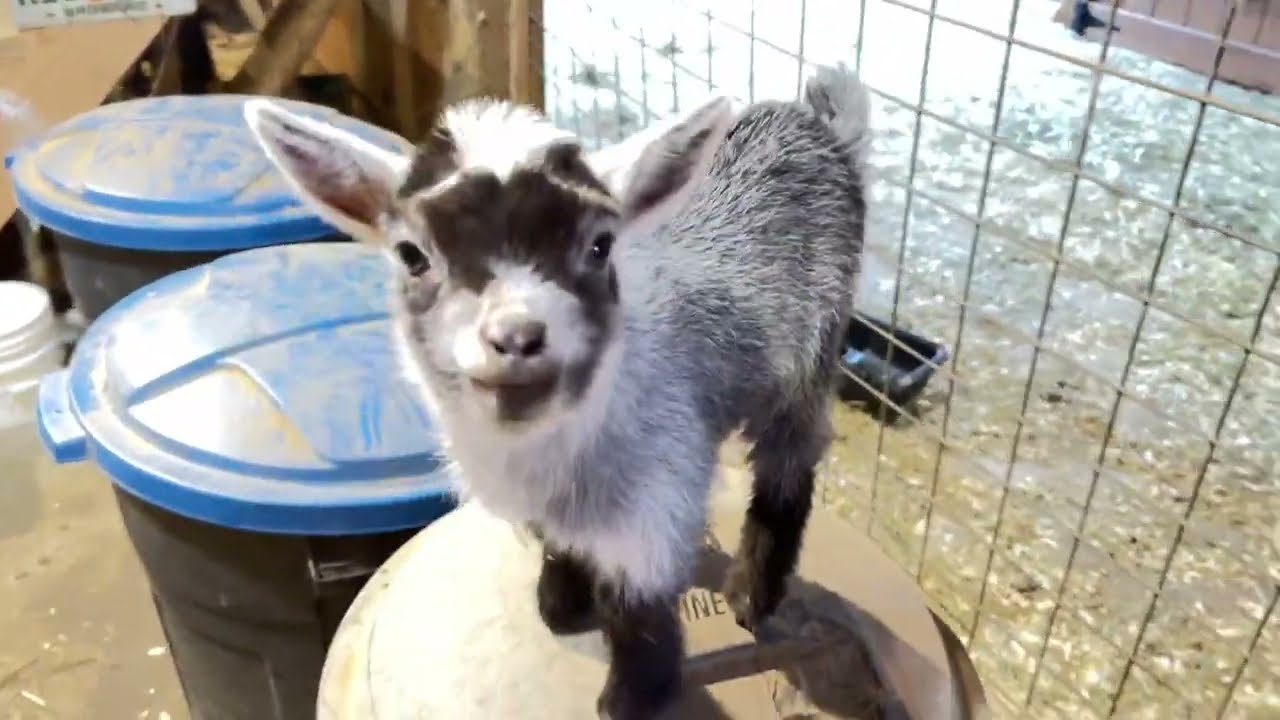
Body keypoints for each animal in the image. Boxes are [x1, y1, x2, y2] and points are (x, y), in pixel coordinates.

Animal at [245, 64, 869, 720]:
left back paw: (753, 593)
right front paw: (564, 604)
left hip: (810, 359)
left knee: (789, 466)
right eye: (412, 255)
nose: (517, 337)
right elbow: (561, 553)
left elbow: (640, 614)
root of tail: (815, 123)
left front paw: (634, 695)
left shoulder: (657, 496)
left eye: (599, 245)